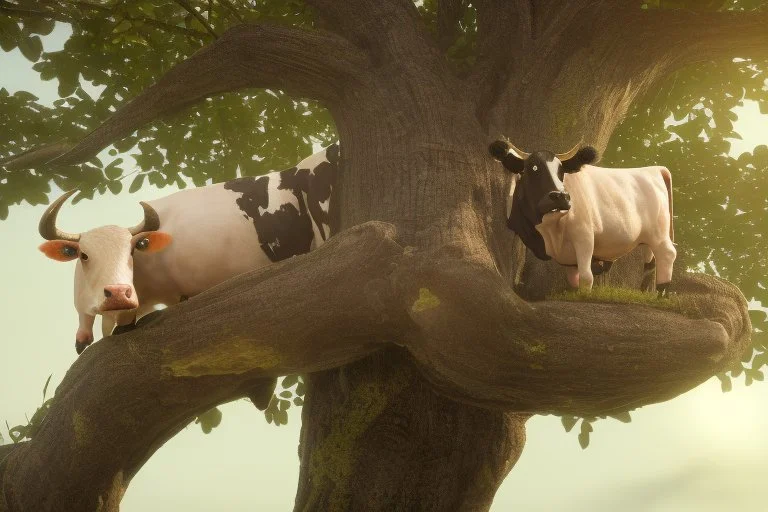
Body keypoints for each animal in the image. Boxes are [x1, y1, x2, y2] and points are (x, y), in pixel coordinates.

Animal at [488, 139, 676, 296]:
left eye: (562, 171)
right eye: (533, 168)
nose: (561, 196)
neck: (546, 234)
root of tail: (654, 169)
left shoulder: (584, 235)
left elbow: (586, 277)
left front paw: (584, 296)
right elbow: (573, 279)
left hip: (659, 233)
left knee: (667, 254)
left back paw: (662, 294)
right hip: (649, 235)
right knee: (650, 260)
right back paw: (645, 292)